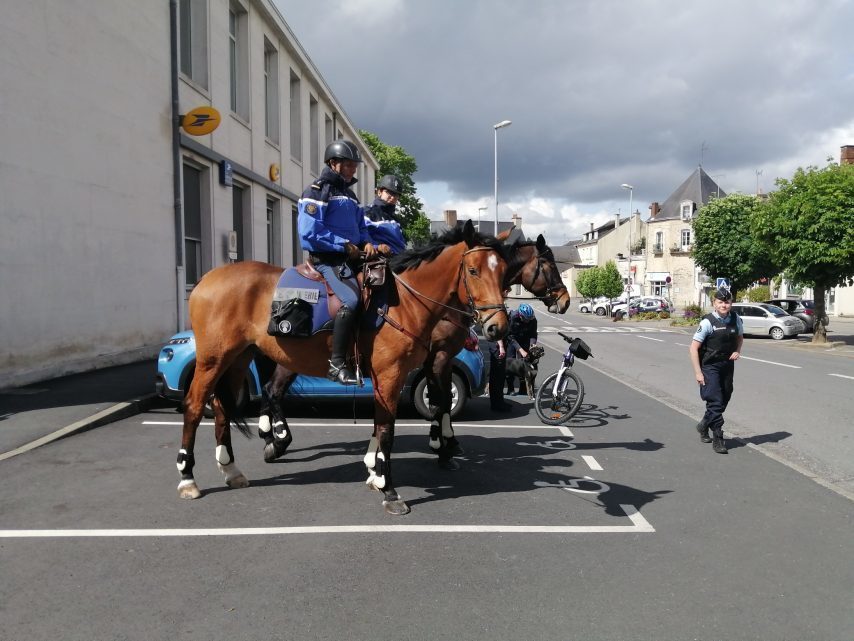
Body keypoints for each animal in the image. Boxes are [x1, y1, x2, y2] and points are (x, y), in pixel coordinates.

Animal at [176, 220, 508, 516]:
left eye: (503, 272)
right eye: (473, 270)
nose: (497, 328)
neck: (405, 302)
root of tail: (206, 279)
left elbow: (384, 424)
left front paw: (376, 473)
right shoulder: (390, 376)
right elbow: (387, 429)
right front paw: (388, 489)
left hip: (237, 359)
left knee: (222, 407)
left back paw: (231, 469)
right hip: (212, 360)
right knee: (194, 406)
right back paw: (188, 478)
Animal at [258, 232, 572, 468]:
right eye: (549, 265)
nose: (566, 300)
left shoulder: (440, 359)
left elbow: (440, 400)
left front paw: (445, 441)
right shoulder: (439, 357)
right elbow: (439, 401)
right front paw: (441, 445)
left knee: (271, 388)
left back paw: (273, 438)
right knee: (272, 390)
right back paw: (275, 436)